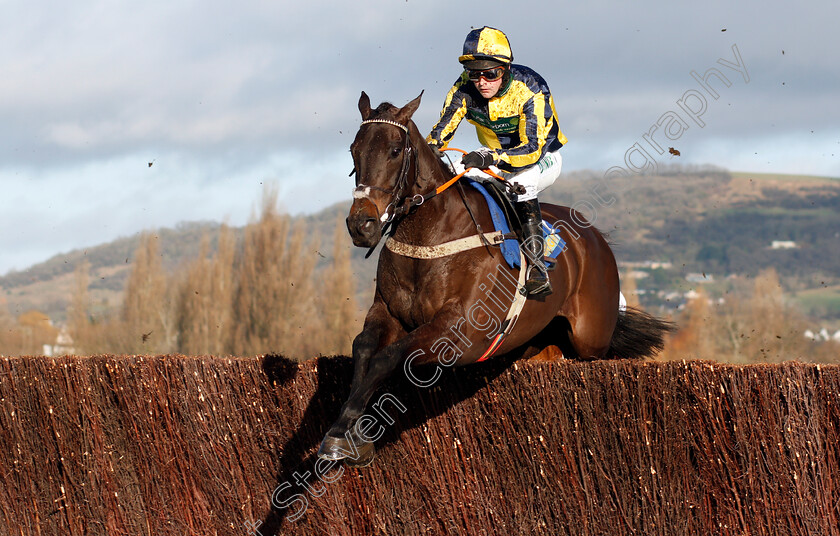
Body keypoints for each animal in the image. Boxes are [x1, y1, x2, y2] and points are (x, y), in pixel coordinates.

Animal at [318, 91, 672, 464]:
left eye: (395, 150)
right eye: (354, 150)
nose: (361, 225)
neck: (431, 235)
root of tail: (597, 238)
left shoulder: (459, 332)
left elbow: (386, 357)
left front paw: (348, 434)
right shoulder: (387, 313)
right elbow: (363, 348)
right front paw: (344, 432)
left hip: (591, 340)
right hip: (539, 344)